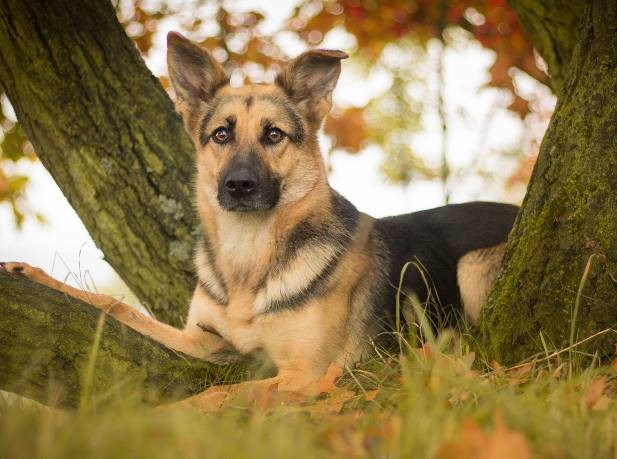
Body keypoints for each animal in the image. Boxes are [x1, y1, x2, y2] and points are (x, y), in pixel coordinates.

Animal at [2, 33, 516, 396]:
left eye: (273, 135)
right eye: (222, 134)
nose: (239, 186)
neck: (248, 260)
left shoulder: (306, 374)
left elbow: (221, 396)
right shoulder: (199, 341)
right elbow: (116, 306)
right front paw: (31, 275)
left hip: (472, 268)